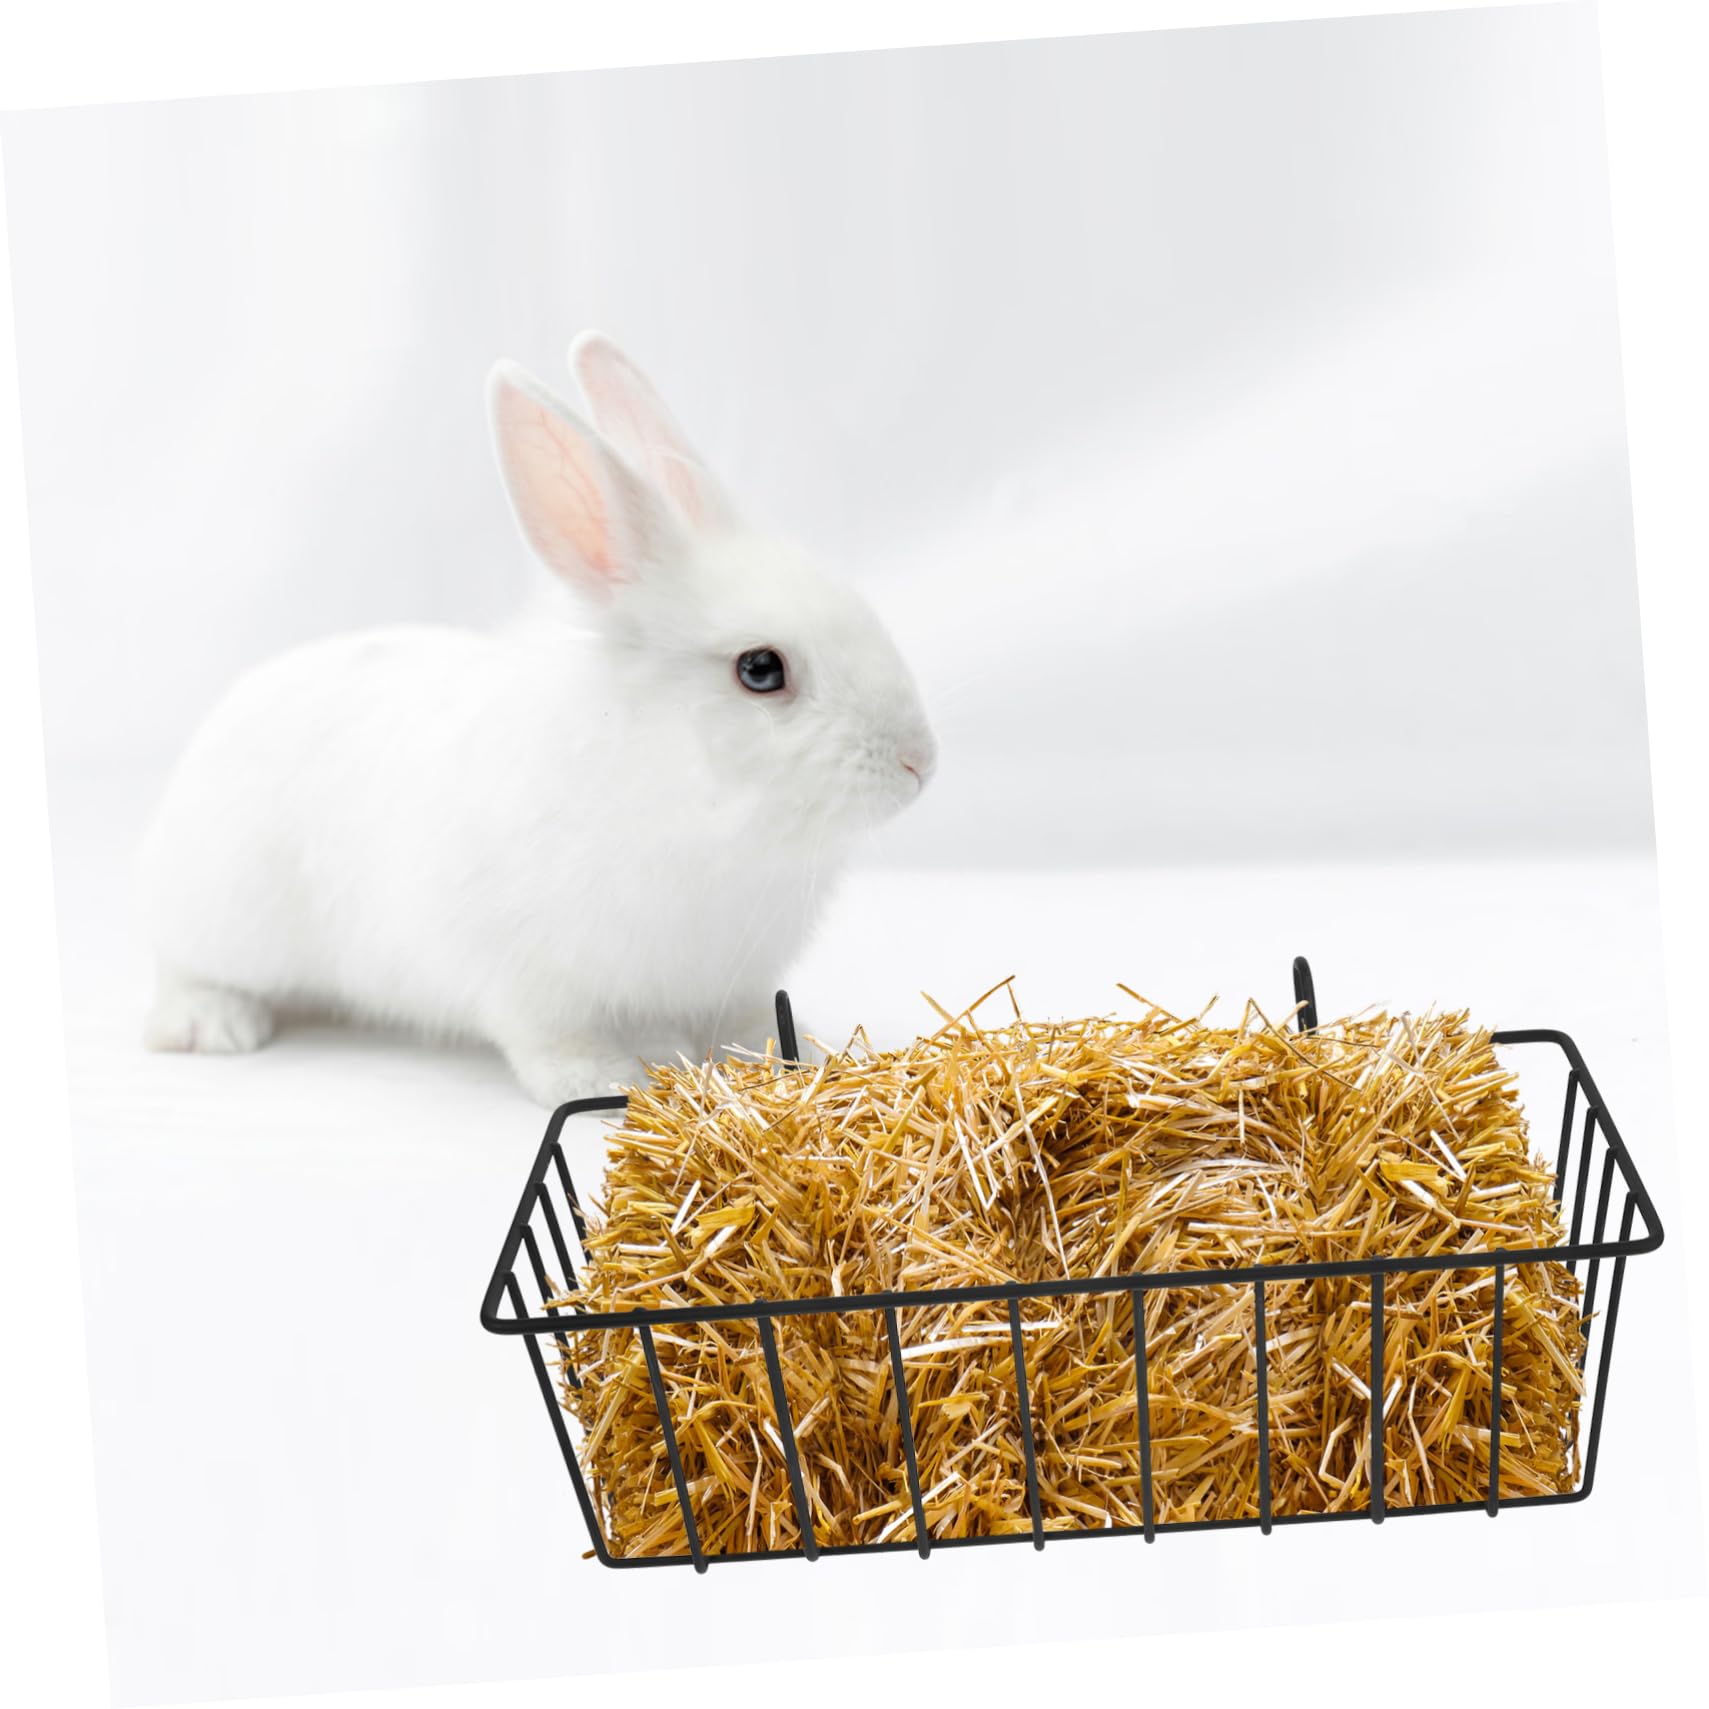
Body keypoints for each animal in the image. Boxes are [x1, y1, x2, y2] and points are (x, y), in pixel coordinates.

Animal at [138, 333, 936, 1106]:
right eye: (761, 669)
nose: (921, 762)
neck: (690, 802)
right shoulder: (526, 978)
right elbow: (553, 1038)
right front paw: (603, 1081)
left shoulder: (735, 979)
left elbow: (746, 1024)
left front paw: (799, 1058)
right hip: (226, 920)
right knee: (181, 968)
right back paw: (214, 1025)